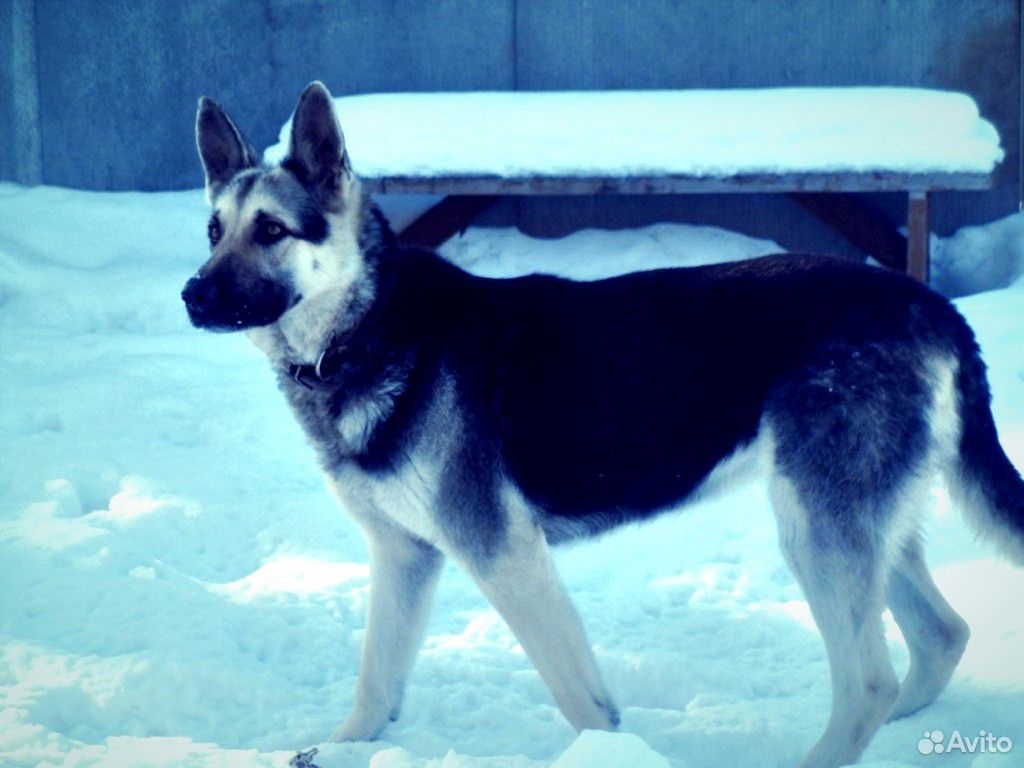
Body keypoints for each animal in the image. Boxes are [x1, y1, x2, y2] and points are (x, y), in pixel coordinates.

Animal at [184, 83, 1024, 768]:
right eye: (213, 230)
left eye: (271, 231)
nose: (192, 296)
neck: (364, 329)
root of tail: (927, 302)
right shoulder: (404, 556)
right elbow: (376, 683)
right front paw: (341, 750)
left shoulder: (506, 556)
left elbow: (579, 696)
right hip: (861, 525)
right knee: (941, 637)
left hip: (815, 529)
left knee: (868, 684)